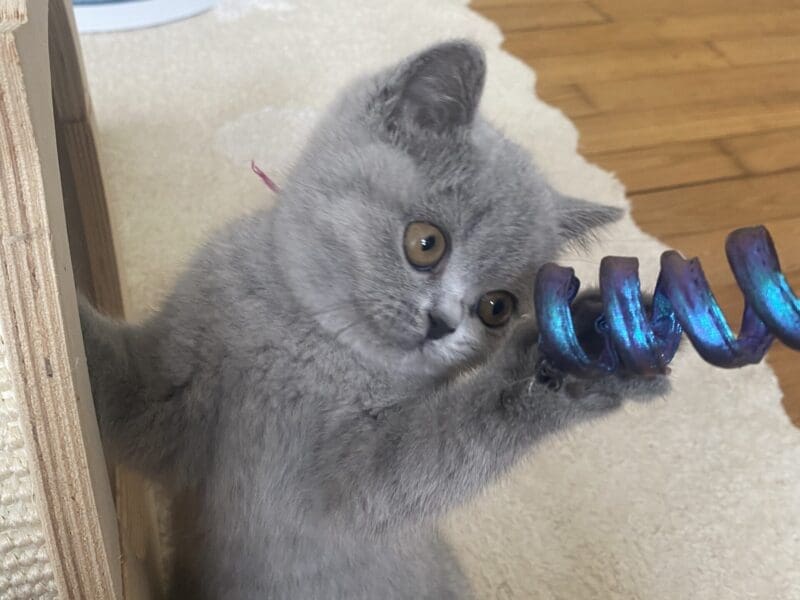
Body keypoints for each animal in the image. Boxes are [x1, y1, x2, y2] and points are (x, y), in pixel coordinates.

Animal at [83, 39, 668, 596]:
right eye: (426, 243)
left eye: (496, 308)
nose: (442, 323)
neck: (312, 345)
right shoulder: (174, 379)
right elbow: (124, 386)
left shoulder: (348, 484)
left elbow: (424, 457)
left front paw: (567, 360)